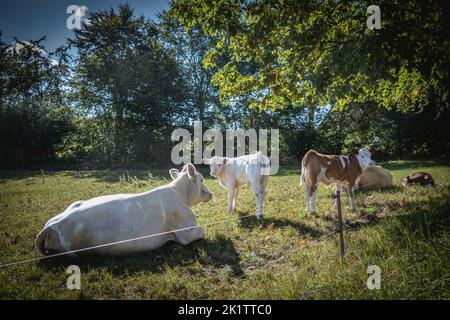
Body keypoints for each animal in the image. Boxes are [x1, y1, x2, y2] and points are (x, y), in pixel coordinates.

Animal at [35, 164, 213, 256]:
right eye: (201, 179)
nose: (211, 193)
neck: (180, 195)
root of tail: (49, 226)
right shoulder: (185, 233)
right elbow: (202, 230)